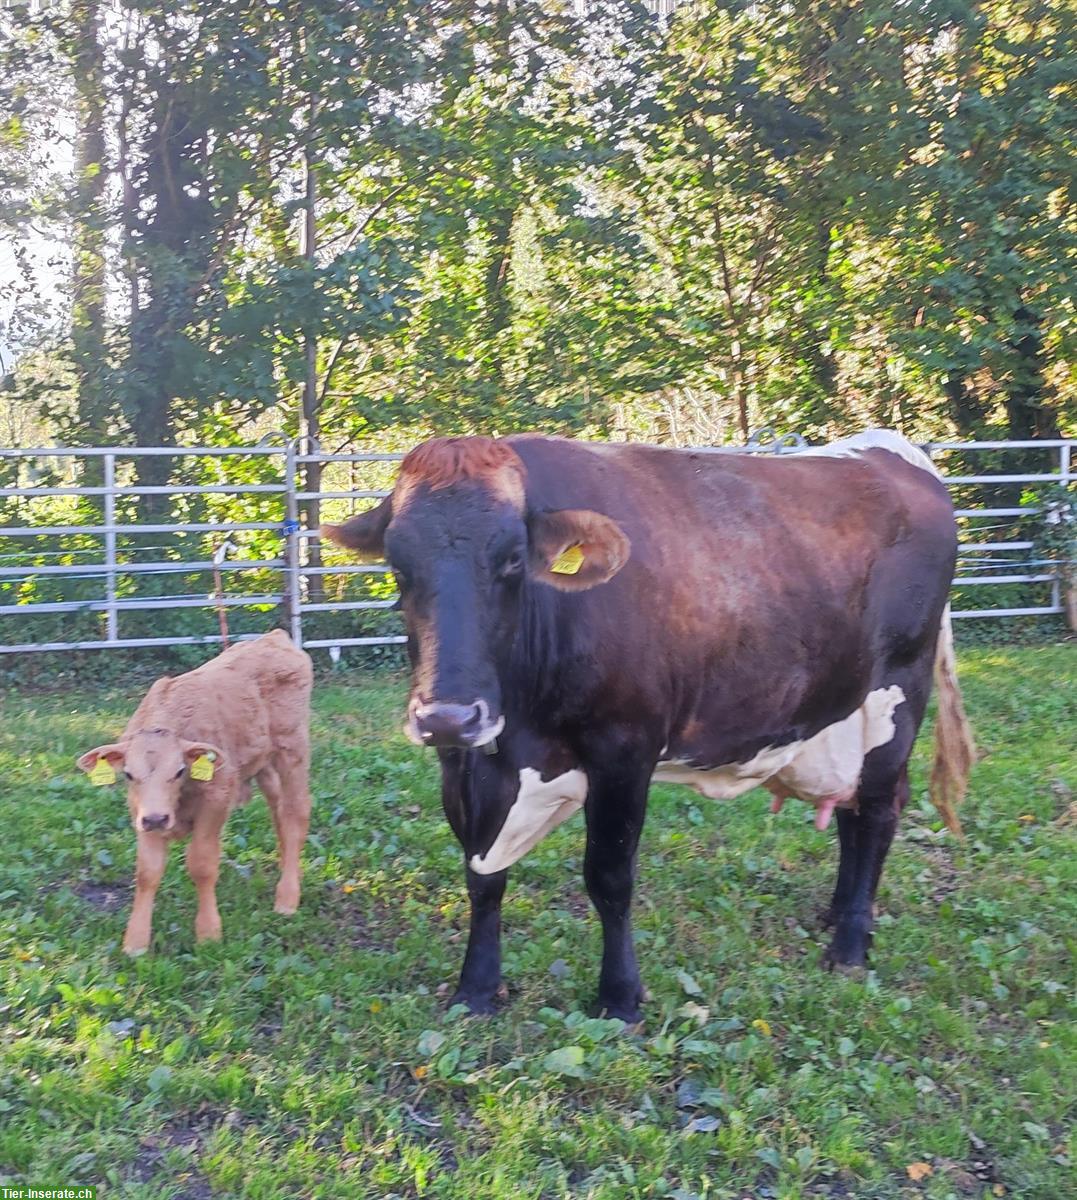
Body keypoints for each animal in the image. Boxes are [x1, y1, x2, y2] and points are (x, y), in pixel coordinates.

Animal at [74, 628, 311, 955]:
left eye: (179, 771)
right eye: (129, 774)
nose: (157, 820)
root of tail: (274, 637)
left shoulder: (216, 799)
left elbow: (202, 864)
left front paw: (208, 933)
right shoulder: (141, 812)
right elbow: (147, 871)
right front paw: (135, 942)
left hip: (293, 748)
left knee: (295, 815)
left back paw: (287, 898)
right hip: (263, 763)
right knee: (279, 812)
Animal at [321, 427, 973, 1017]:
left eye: (511, 561)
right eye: (399, 568)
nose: (448, 716)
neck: (518, 737)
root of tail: (893, 452)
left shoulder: (624, 751)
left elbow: (608, 877)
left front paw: (619, 997)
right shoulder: (465, 764)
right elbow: (482, 876)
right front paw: (477, 989)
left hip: (897, 693)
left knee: (878, 810)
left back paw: (850, 944)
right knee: (852, 811)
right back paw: (838, 914)